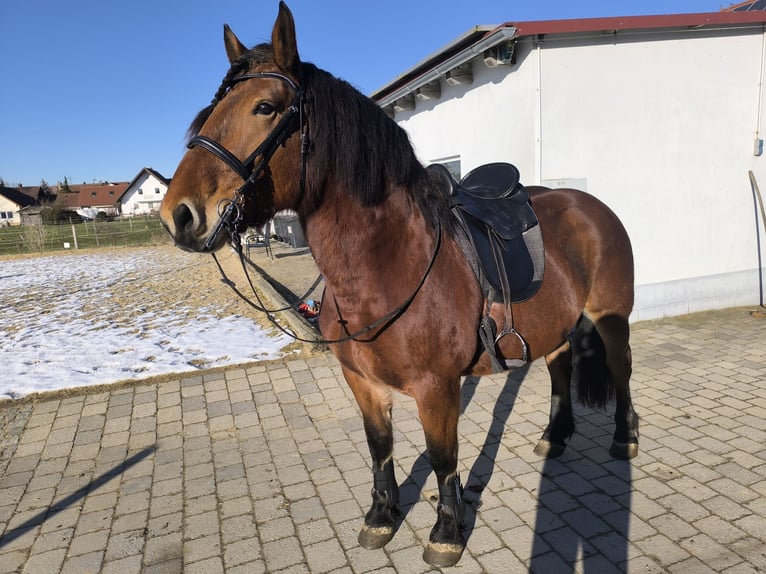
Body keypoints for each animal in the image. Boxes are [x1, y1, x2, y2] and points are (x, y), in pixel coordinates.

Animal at [159, 3, 640, 572]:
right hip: (559, 325)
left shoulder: (437, 387)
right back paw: (554, 437)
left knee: (621, 370)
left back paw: (624, 439)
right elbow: (380, 447)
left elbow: (442, 457)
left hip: (612, 319)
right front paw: (382, 516)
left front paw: (447, 531)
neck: (385, 265)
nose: (178, 214)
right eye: (209, 112)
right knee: (560, 368)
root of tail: (590, 204)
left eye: (265, 107)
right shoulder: (362, 382)